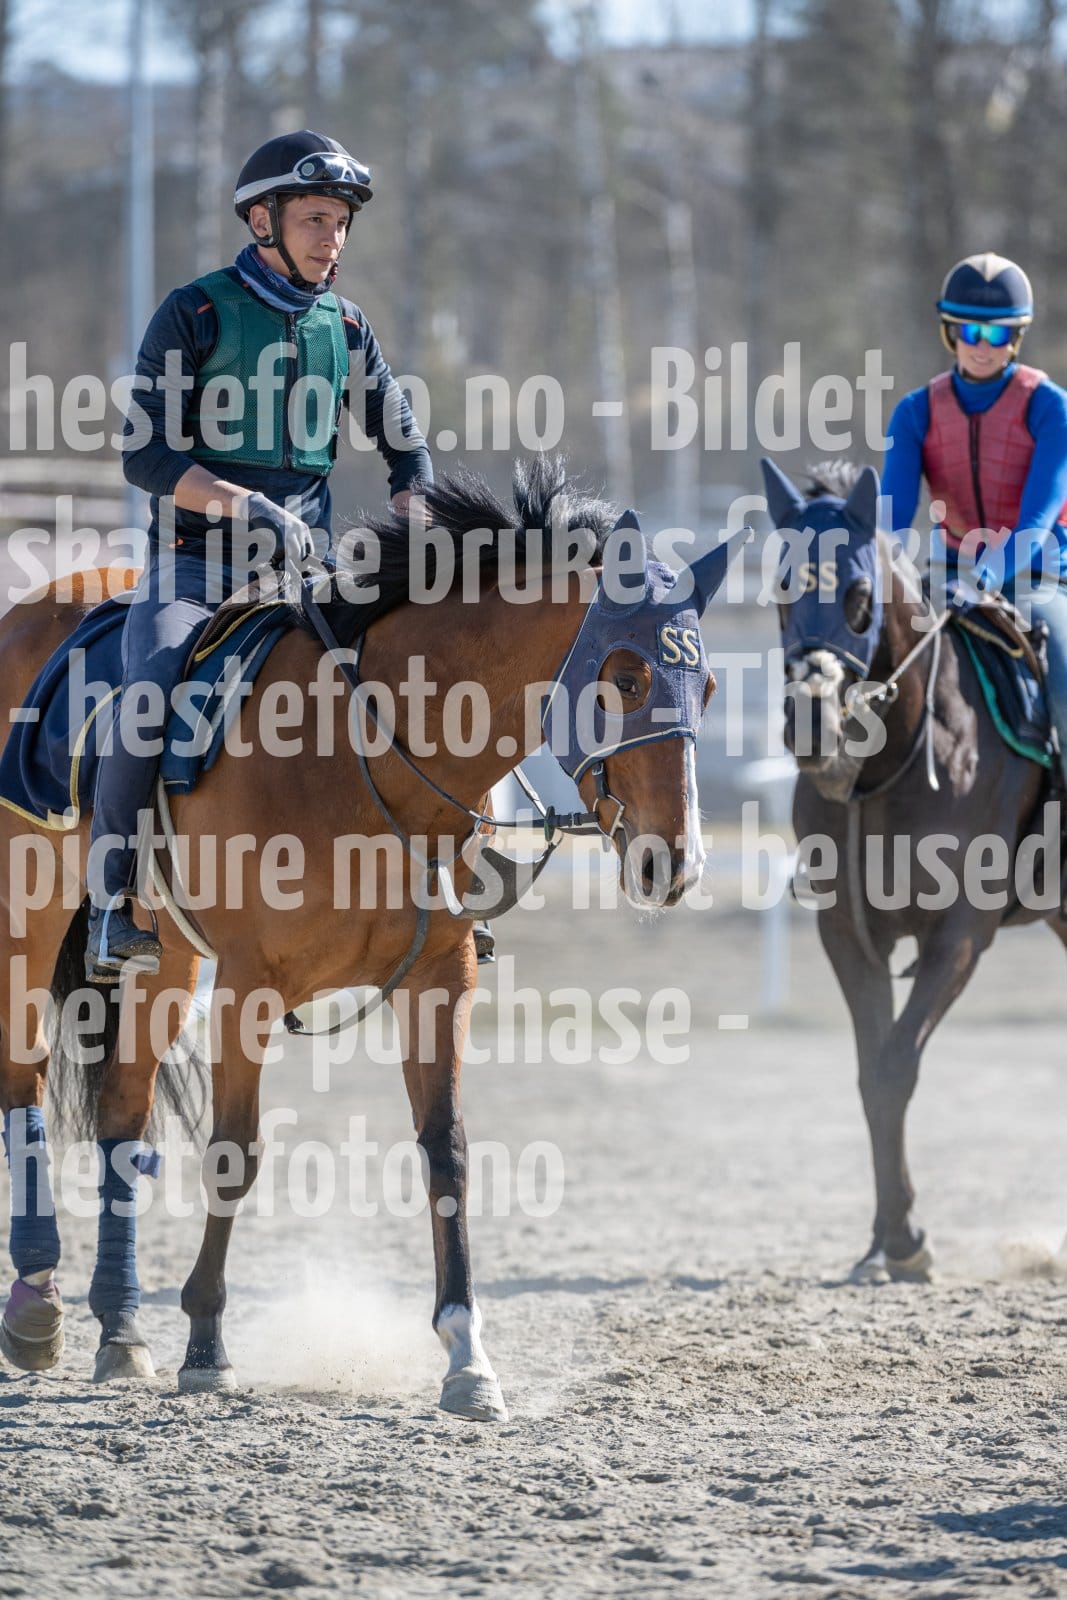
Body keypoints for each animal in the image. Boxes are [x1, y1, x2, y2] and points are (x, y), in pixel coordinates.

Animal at [0, 457, 744, 1419]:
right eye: (621, 677)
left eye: (708, 689)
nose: (673, 862)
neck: (368, 752)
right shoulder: (249, 987)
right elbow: (235, 1155)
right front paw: (207, 1342)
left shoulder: (438, 978)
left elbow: (447, 1152)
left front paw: (466, 1356)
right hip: (31, 919)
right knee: (22, 1079)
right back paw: (37, 1305)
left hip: (168, 956)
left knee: (123, 1107)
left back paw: (121, 1327)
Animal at [760, 456, 1067, 1284]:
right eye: (780, 588)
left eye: (859, 595)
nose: (809, 718)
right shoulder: (847, 933)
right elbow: (873, 1075)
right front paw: (886, 1238)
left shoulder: (958, 935)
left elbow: (898, 1062)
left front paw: (903, 1240)